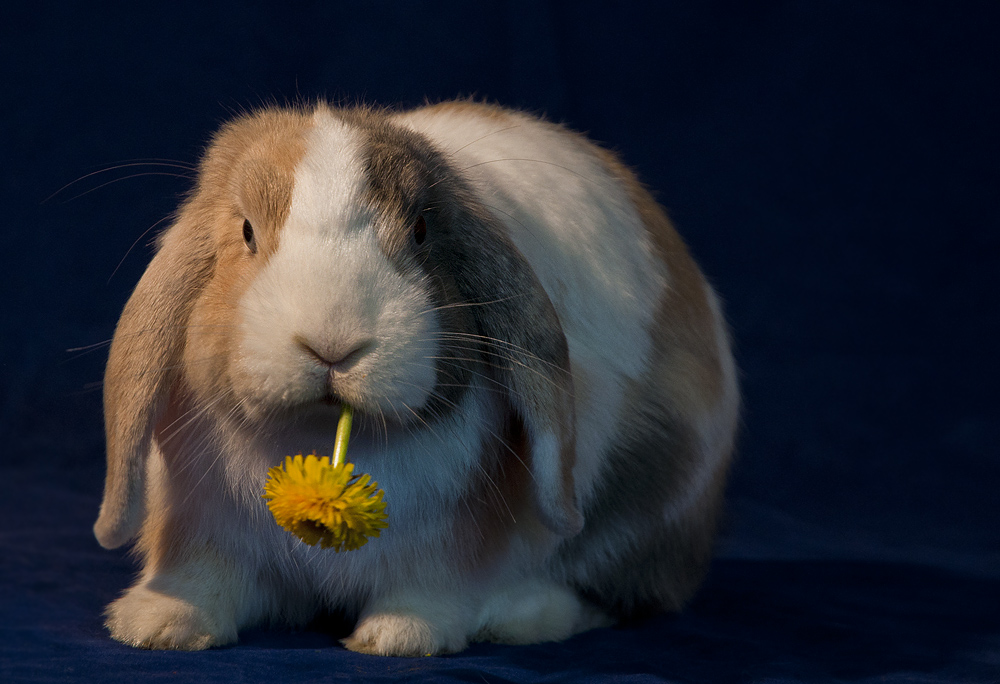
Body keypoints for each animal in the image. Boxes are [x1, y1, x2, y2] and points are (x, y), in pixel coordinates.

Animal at [95, 99, 744, 656]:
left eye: (422, 232)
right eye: (248, 232)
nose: (333, 343)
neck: (321, 435)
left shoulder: (447, 550)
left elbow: (430, 591)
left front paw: (399, 637)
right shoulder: (203, 526)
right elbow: (202, 579)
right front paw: (158, 627)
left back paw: (526, 616)